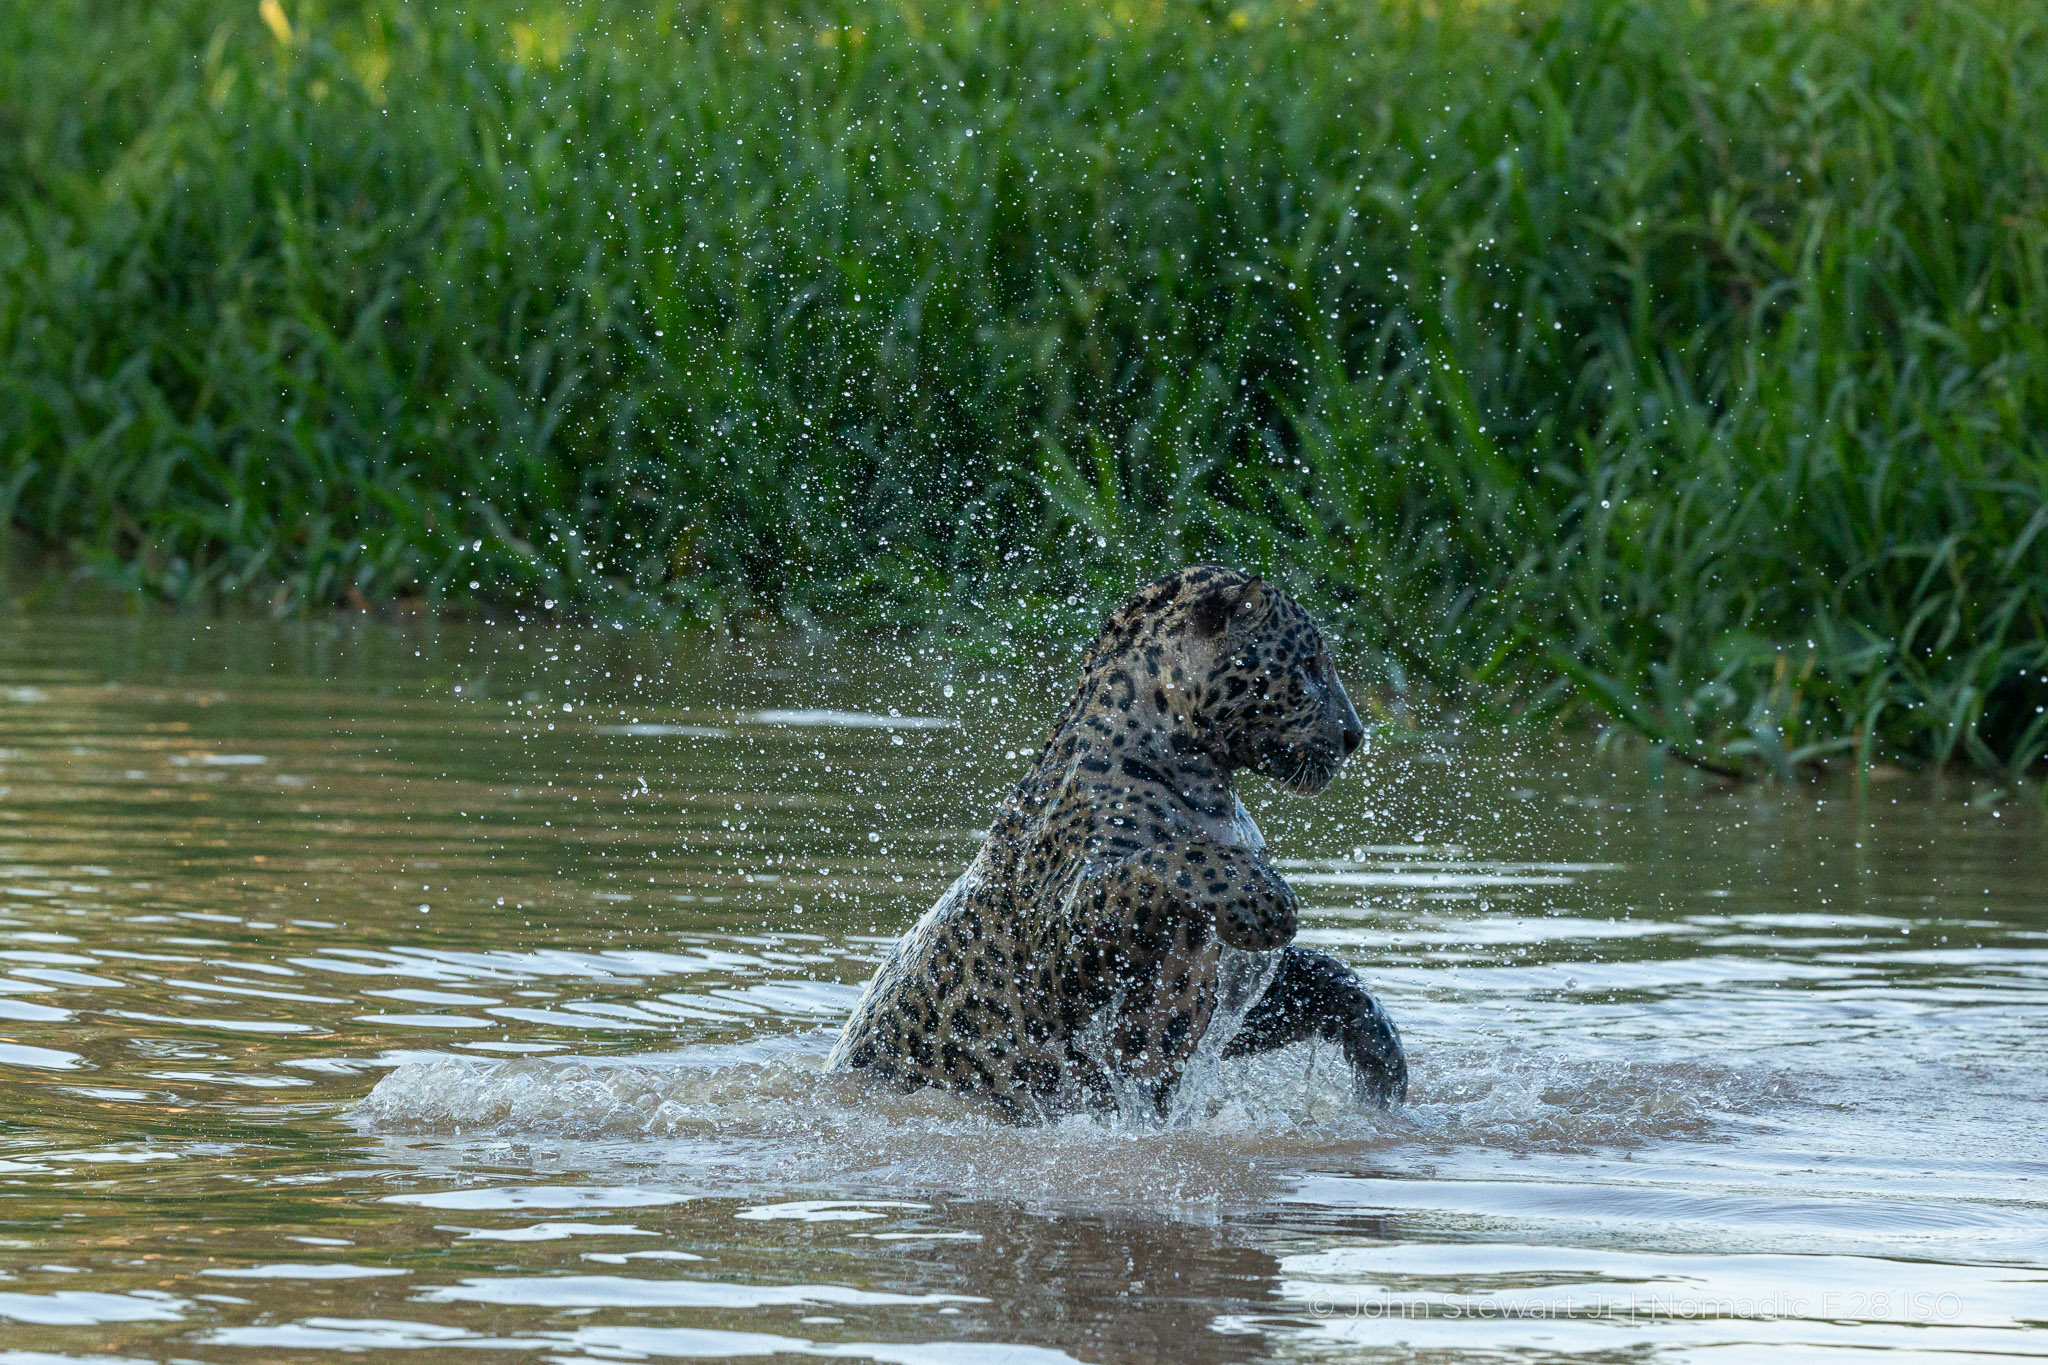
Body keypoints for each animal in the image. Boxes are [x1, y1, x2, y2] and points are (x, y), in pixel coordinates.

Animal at [824, 564, 1407, 1120]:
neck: (1206, 780)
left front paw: (1383, 1068)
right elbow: (1165, 859)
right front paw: (1266, 900)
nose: (1356, 735)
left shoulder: (1223, 983)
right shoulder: (1060, 951)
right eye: (1308, 665)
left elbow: (1329, 979)